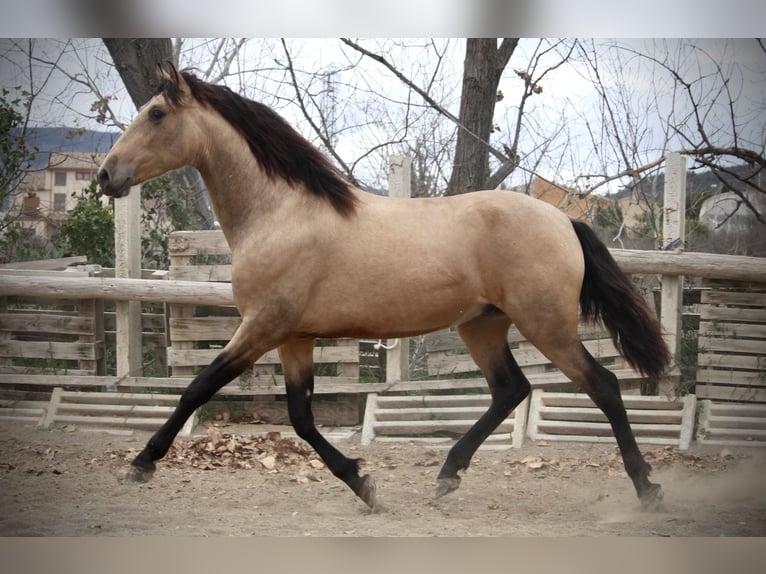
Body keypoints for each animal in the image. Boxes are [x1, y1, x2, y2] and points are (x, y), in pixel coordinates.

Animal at [99, 63, 668, 512]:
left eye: (156, 114)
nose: (105, 175)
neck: (279, 214)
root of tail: (562, 220)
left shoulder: (261, 328)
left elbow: (197, 388)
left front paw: (141, 463)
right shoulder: (294, 338)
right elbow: (301, 418)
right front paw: (363, 483)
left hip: (547, 325)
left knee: (602, 386)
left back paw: (646, 487)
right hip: (483, 326)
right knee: (511, 389)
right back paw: (447, 475)